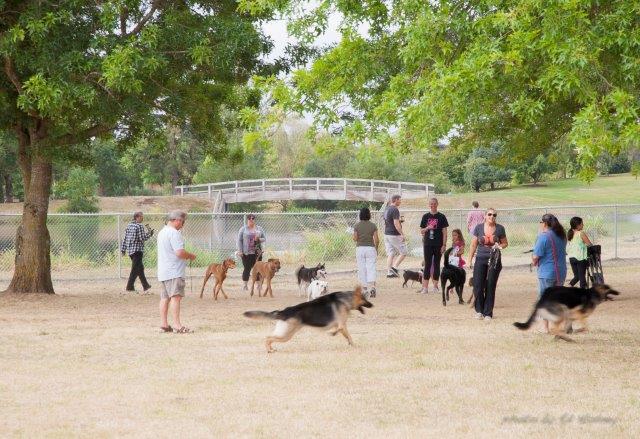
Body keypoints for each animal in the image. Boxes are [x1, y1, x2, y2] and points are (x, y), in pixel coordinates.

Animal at [245, 286, 376, 354]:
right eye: (365, 299)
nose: (372, 305)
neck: (345, 299)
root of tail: (283, 312)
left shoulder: (342, 325)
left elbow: (348, 336)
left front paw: (352, 344)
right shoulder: (341, 324)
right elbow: (341, 332)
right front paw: (333, 334)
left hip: (284, 333)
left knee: (270, 338)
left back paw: (271, 349)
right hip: (286, 335)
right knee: (268, 338)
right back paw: (269, 350)